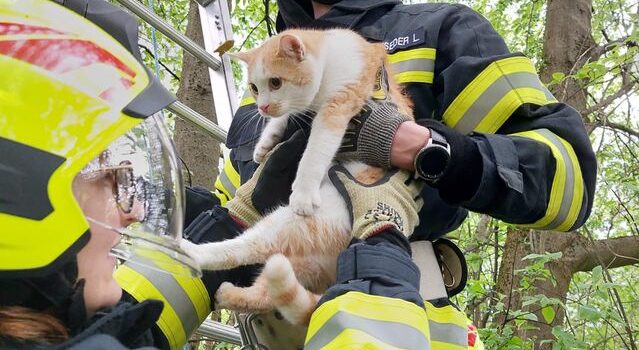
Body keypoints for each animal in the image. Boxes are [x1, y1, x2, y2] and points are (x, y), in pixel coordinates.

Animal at [181, 28, 410, 326]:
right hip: (296, 263)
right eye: (255, 88)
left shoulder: (338, 106)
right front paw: (265, 143)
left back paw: (192, 252)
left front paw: (302, 190)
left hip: (289, 223)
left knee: (245, 248)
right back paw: (228, 293)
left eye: (275, 82)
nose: (262, 107)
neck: (329, 58)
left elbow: (314, 153)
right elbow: (285, 117)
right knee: (266, 293)